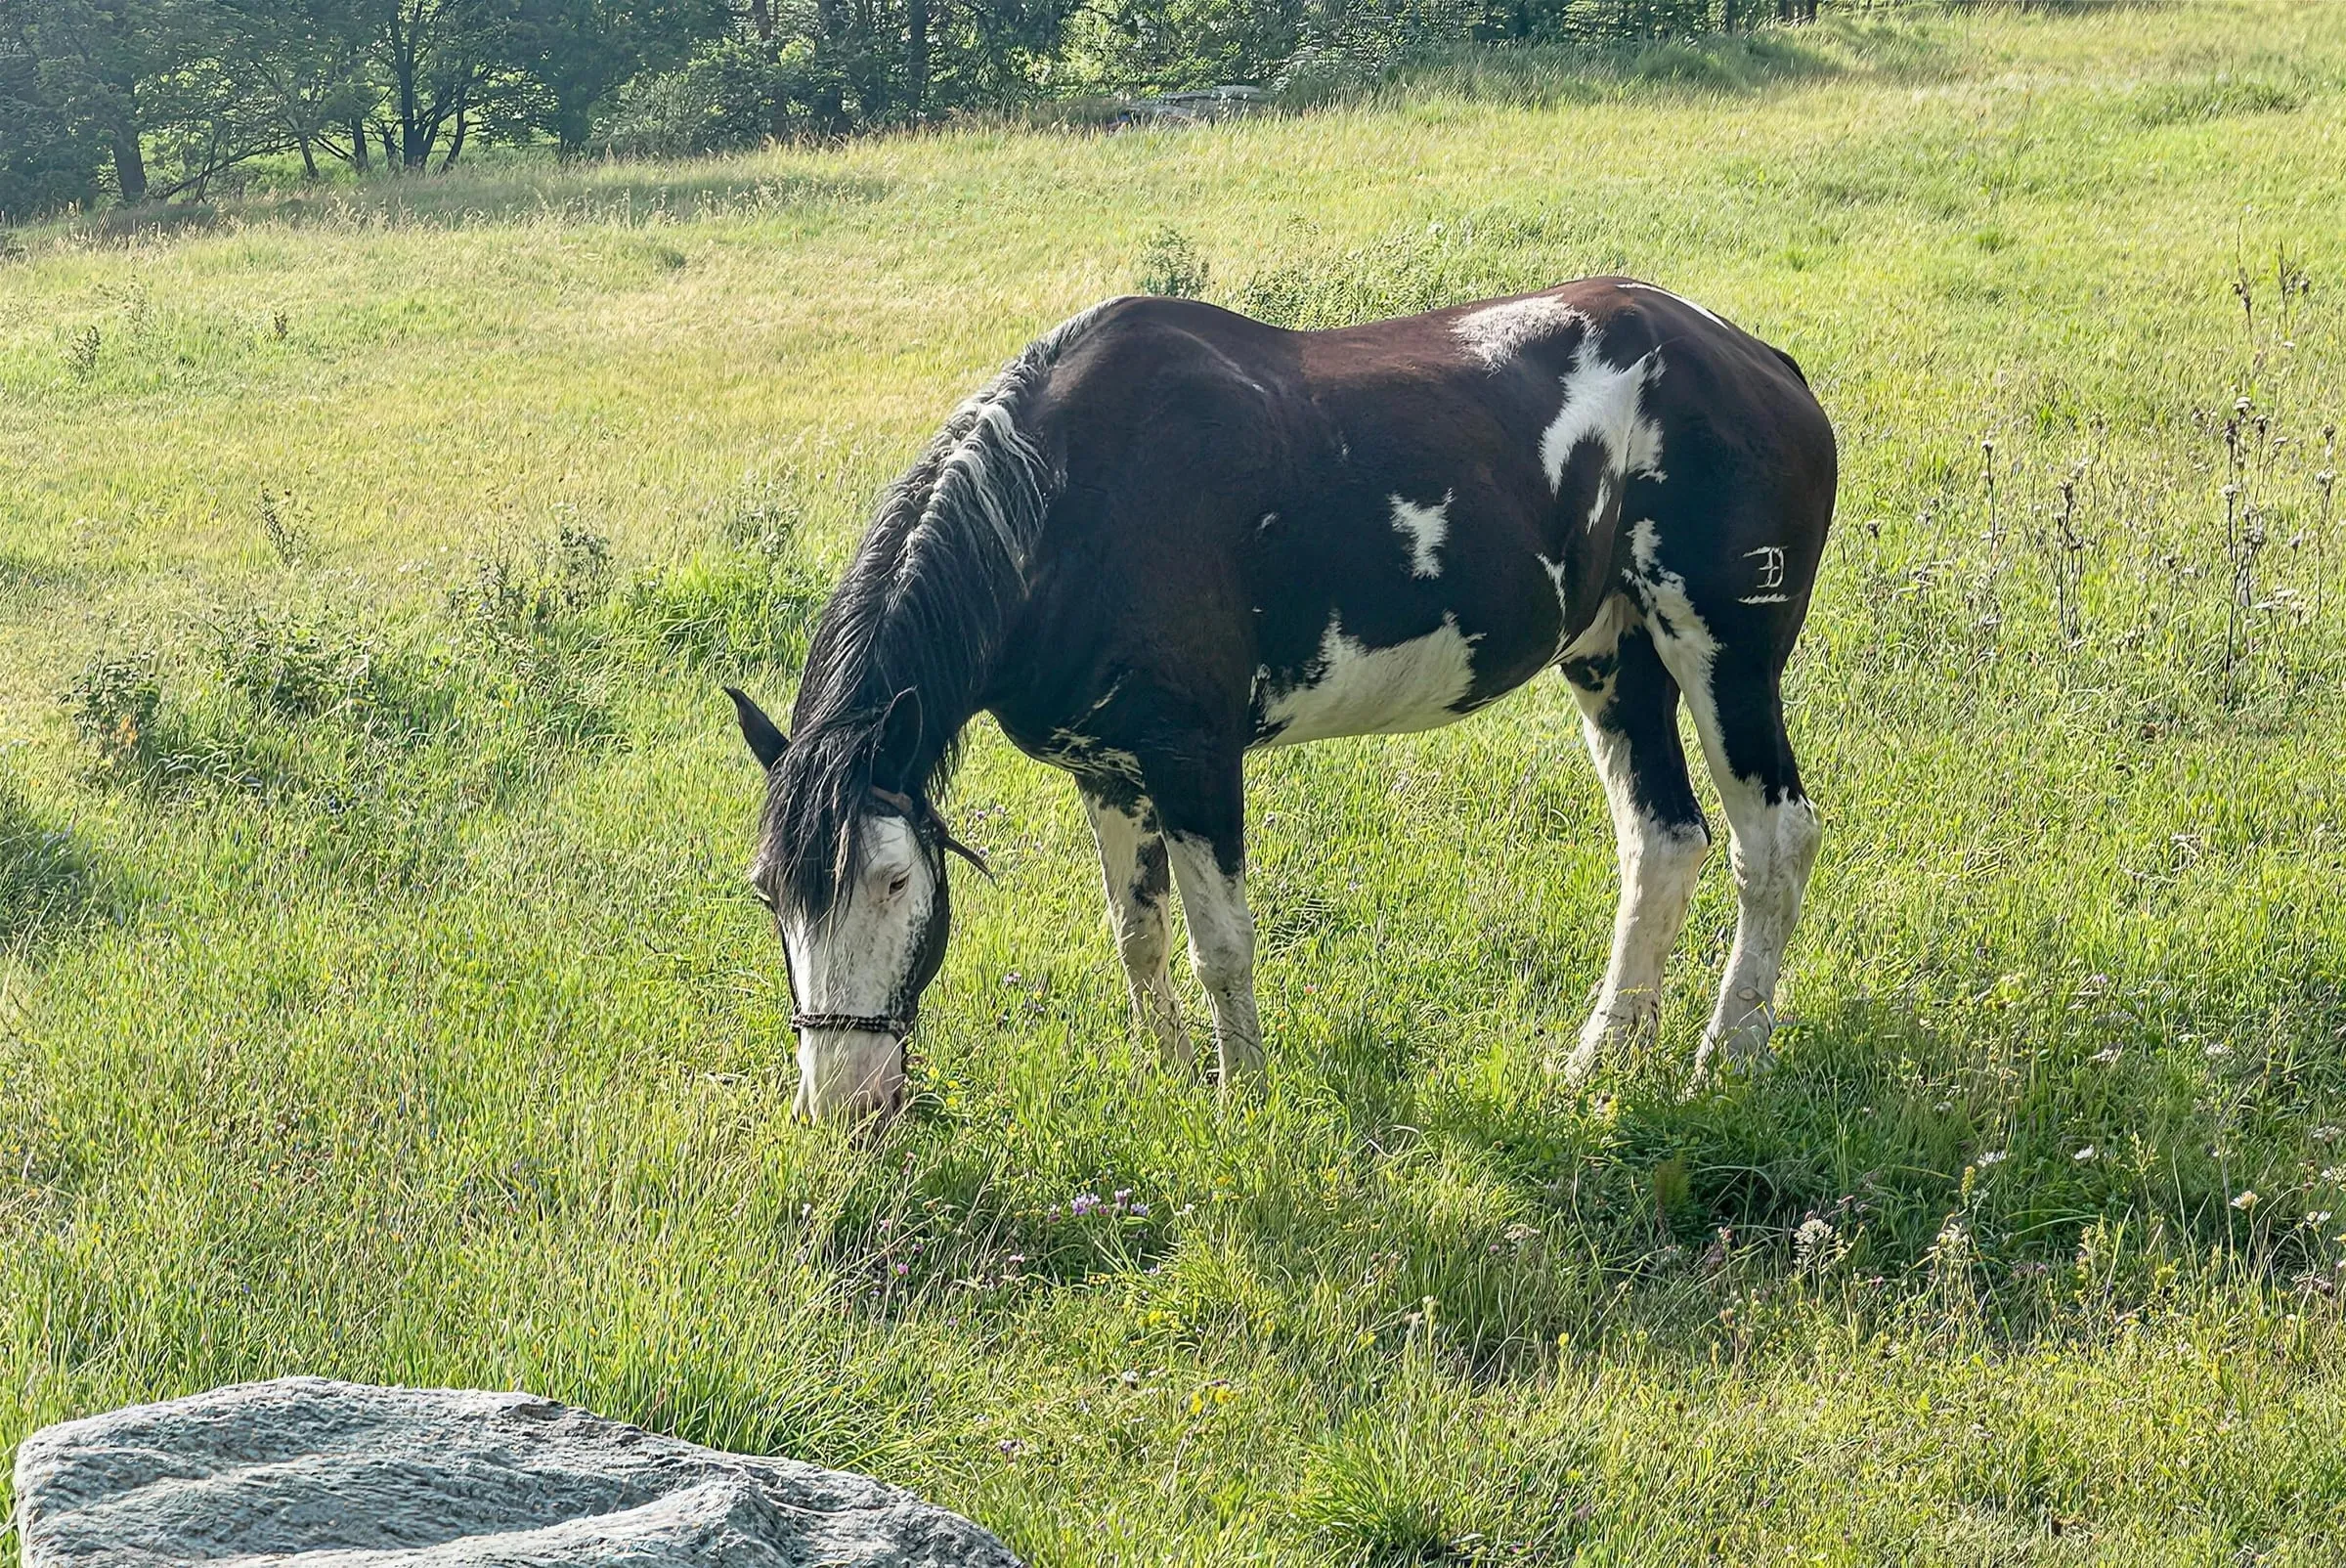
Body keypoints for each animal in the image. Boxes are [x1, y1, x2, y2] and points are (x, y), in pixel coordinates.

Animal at [726, 278, 1837, 1122]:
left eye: (894, 882)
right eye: (769, 892)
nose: (844, 1105)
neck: (1068, 501)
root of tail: (1760, 362)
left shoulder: (1193, 762)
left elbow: (1220, 947)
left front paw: (1243, 1099)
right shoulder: (1110, 773)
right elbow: (1136, 938)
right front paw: (1171, 1077)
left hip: (1723, 657)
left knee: (1774, 843)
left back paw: (1726, 1057)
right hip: (1614, 658)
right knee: (1664, 842)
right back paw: (1601, 1060)